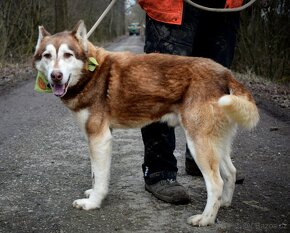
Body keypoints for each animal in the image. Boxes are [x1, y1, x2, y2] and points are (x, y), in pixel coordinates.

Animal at [33, 20, 258, 227]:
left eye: (68, 55)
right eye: (47, 56)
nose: (56, 76)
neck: (92, 73)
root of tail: (225, 73)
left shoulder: (99, 138)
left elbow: (100, 177)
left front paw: (93, 202)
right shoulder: (98, 137)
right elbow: (95, 174)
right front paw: (92, 192)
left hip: (198, 143)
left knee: (216, 183)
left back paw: (206, 219)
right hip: (216, 142)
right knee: (230, 172)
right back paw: (224, 203)